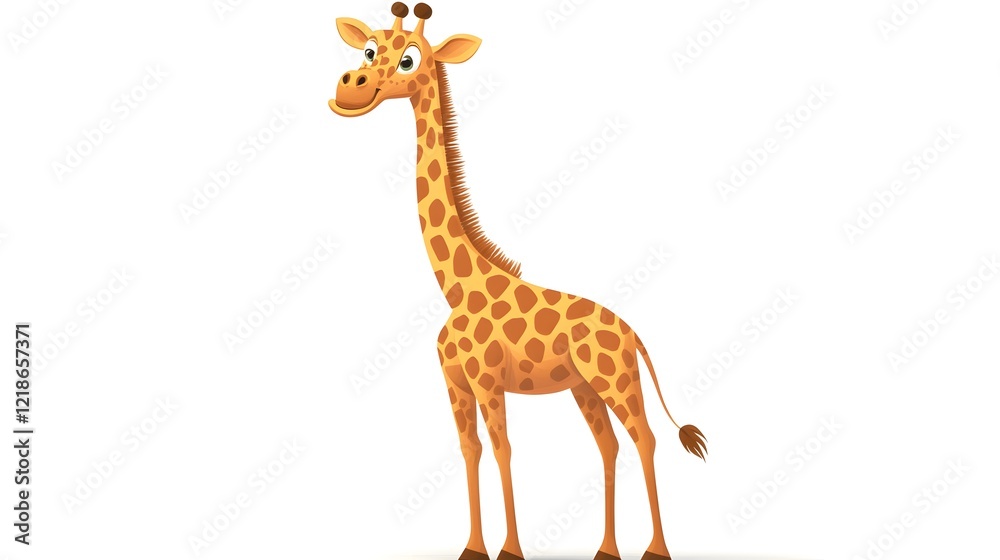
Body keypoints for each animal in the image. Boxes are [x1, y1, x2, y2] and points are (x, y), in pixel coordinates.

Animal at [329, 4, 707, 560]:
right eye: (368, 49)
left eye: (409, 59)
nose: (350, 87)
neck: (456, 286)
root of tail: (632, 332)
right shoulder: (454, 382)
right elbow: (470, 450)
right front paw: (472, 547)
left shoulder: (487, 379)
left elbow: (504, 450)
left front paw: (509, 548)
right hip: (583, 387)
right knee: (609, 444)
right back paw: (606, 548)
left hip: (616, 378)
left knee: (645, 438)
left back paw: (655, 548)